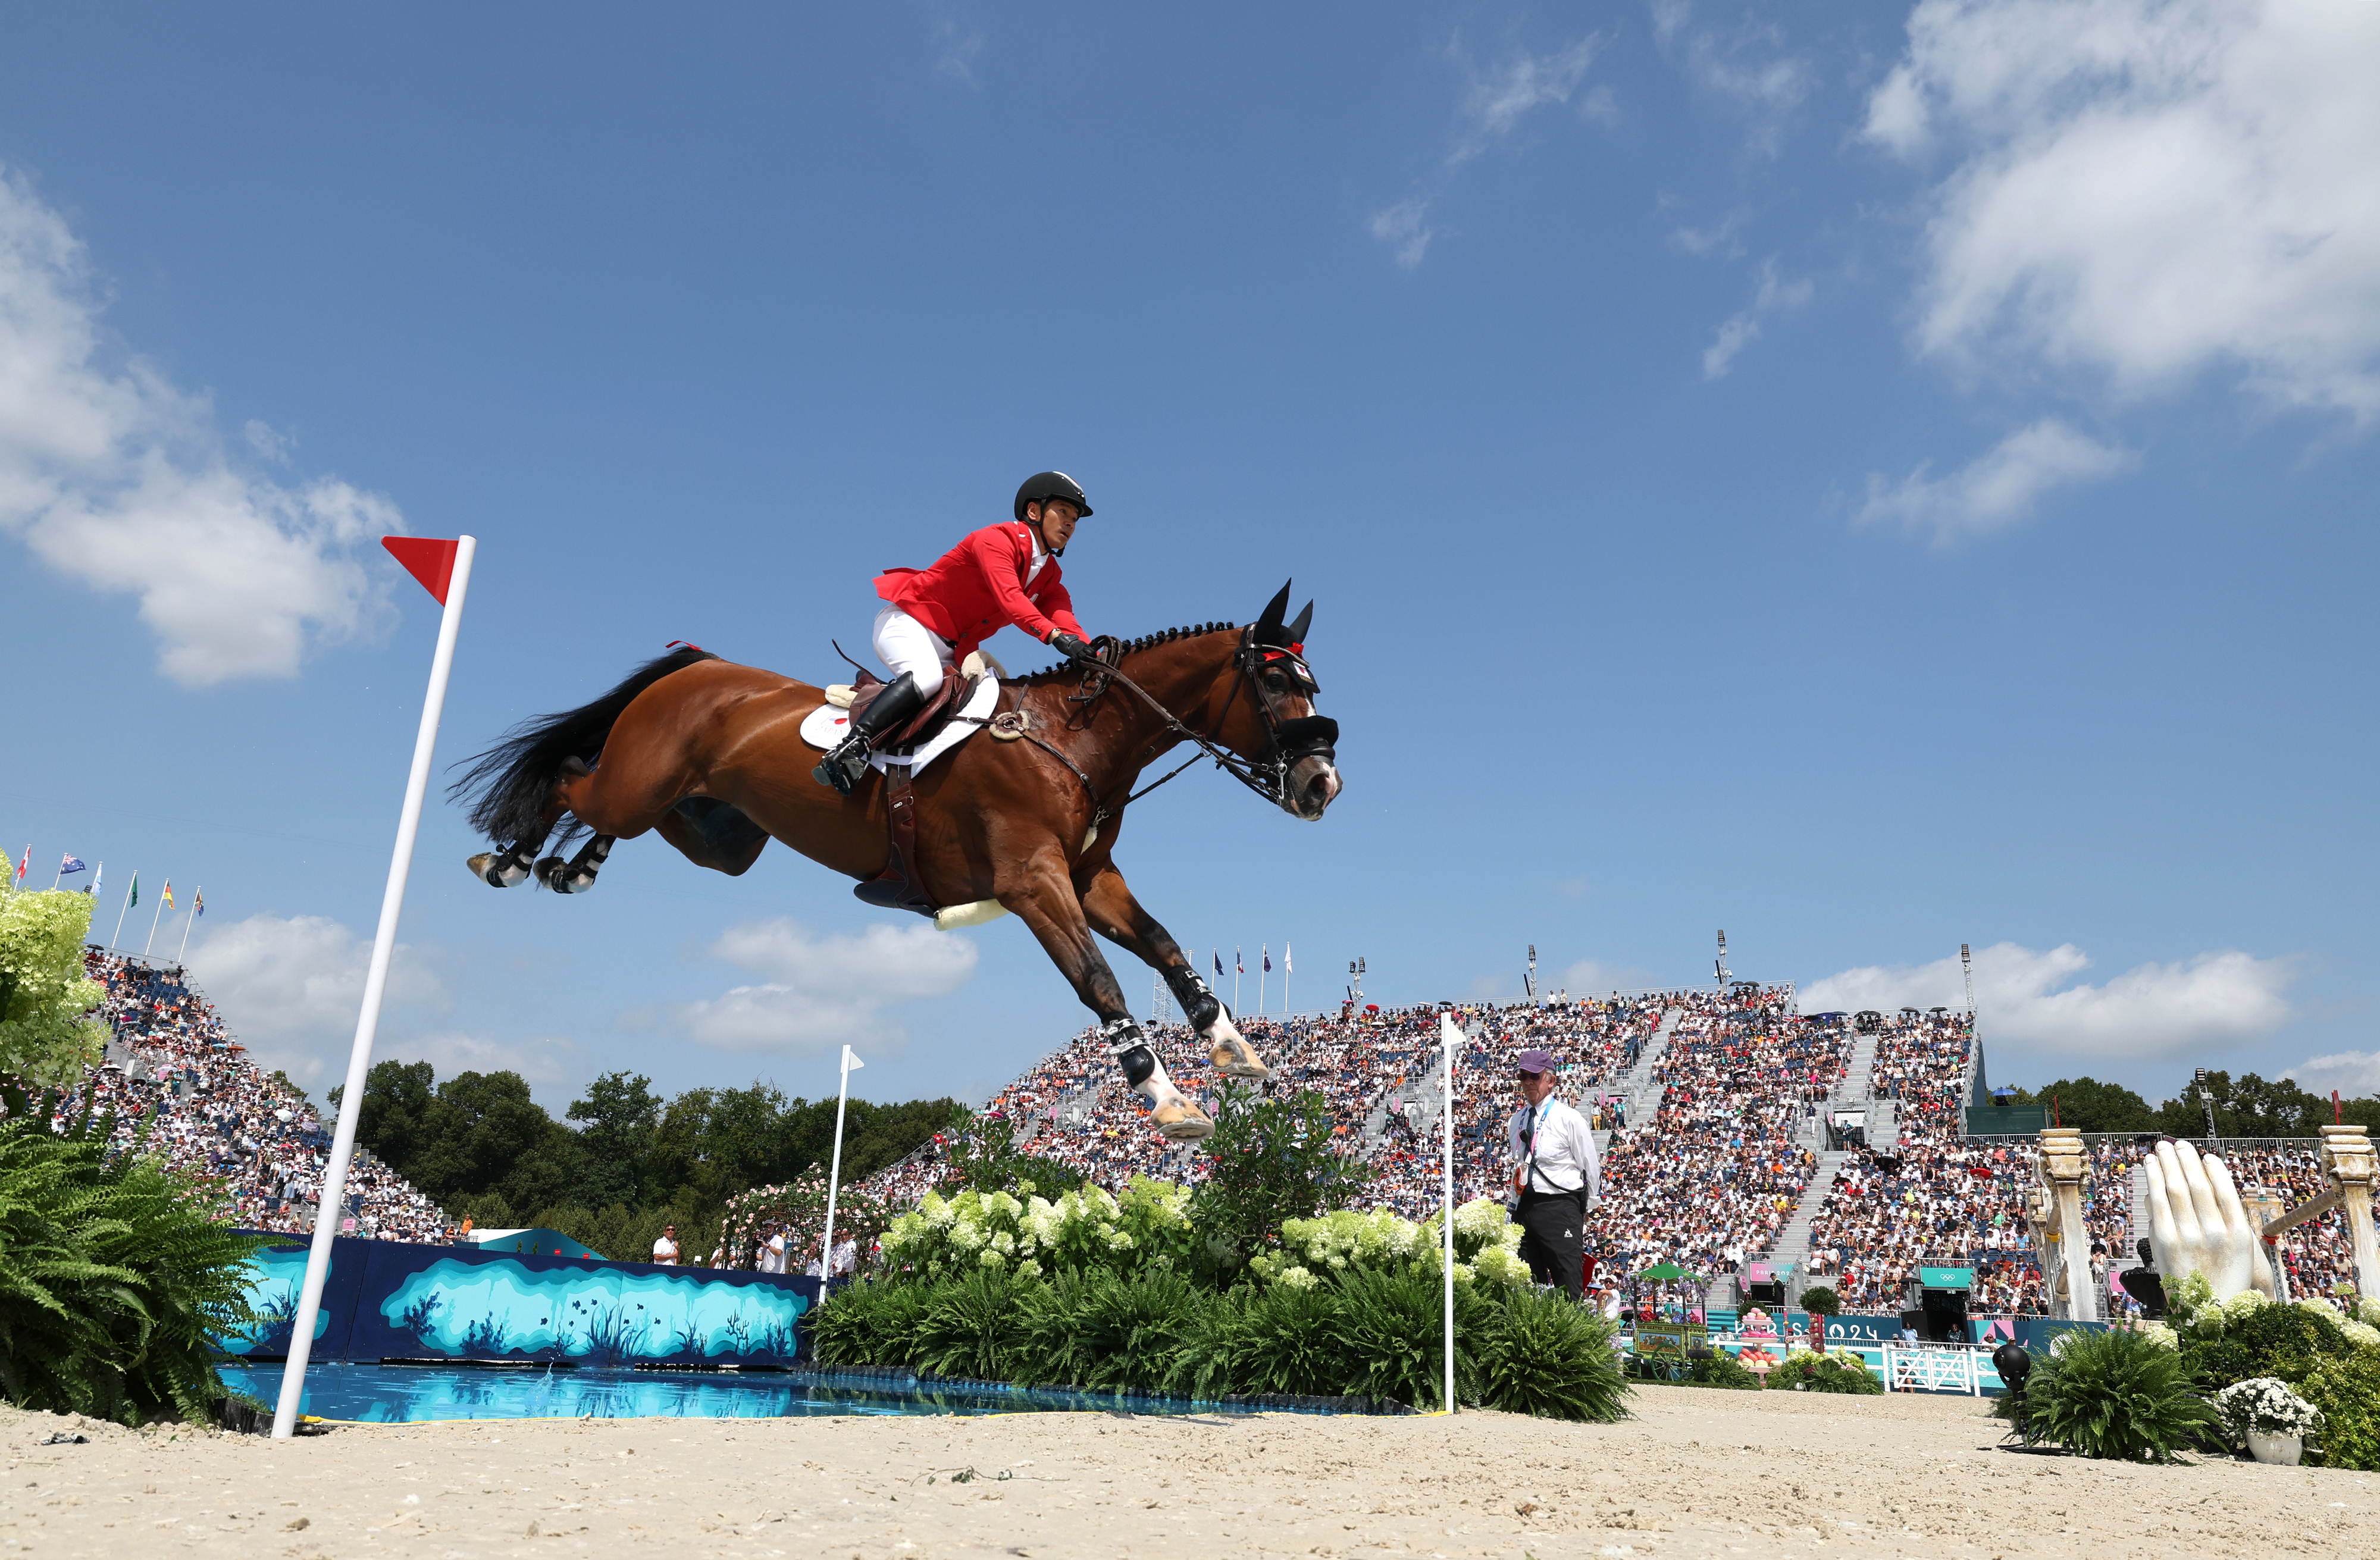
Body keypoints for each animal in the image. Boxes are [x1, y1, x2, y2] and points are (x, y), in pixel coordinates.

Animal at [447, 578, 1342, 1141]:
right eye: (1275, 687)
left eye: (1312, 684)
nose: (1321, 785)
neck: (1077, 738)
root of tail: (698, 667)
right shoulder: (1033, 883)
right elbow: (1102, 982)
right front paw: (1168, 1099)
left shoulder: (1090, 879)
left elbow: (1162, 943)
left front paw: (1235, 1049)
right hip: (641, 784)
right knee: (571, 776)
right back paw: (511, 857)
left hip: (718, 834)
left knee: (624, 815)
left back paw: (573, 866)